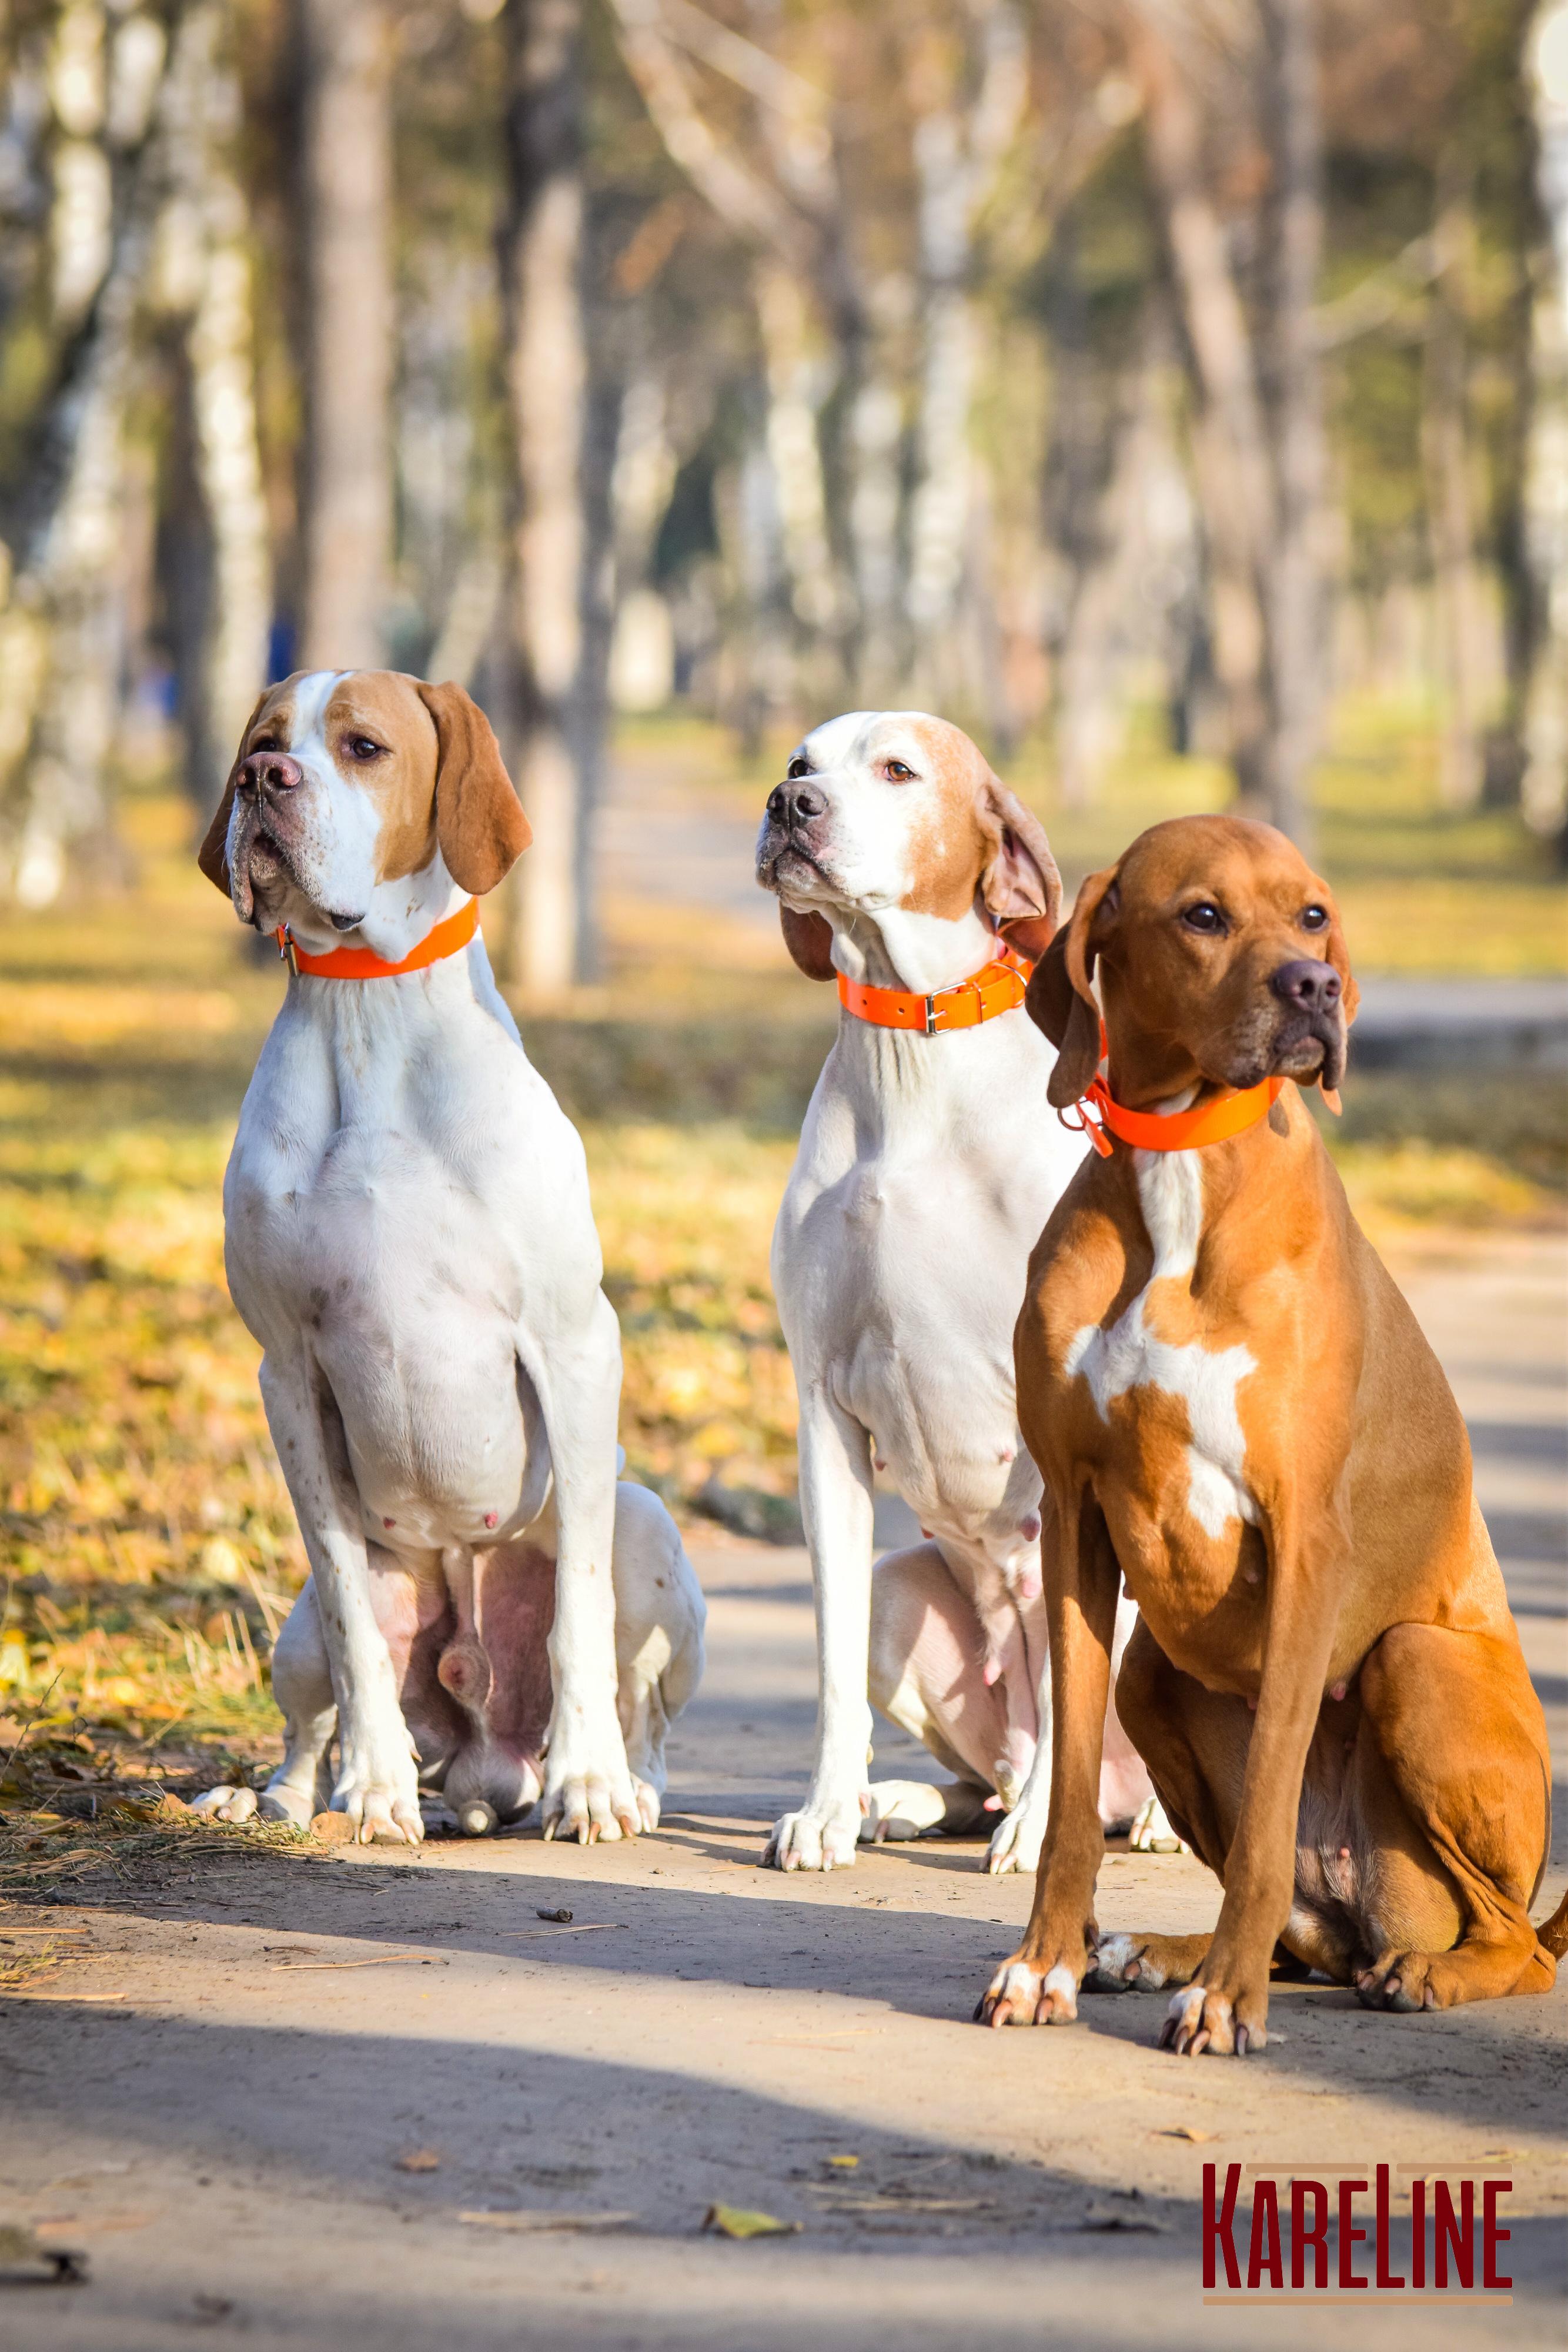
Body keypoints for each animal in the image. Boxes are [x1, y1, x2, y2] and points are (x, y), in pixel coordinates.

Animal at [186, 673, 700, 1844]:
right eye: (262, 741)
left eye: (363, 747)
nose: (264, 780)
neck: (367, 1008)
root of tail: (478, 1763)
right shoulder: (288, 1370)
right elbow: (350, 1622)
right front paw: (374, 1789)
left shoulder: (573, 1342)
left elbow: (578, 1614)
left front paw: (589, 1787)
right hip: (293, 1631)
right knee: (313, 1710)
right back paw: (279, 1798)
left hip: (650, 1532)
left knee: (638, 1697)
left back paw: (627, 1783)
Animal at [752, 706, 1161, 1863]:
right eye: (799, 763)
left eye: (898, 769)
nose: (789, 806)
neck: (911, 1059)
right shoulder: (822, 1412)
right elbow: (830, 1660)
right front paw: (825, 1812)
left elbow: (1070, 1669)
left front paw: (1033, 1838)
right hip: (905, 1596)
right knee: (985, 1756)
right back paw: (908, 1802)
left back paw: (1134, 1818)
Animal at [973, 814, 1561, 2060]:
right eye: (1202, 916)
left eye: (1312, 913)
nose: (1314, 987)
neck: (1182, 1161)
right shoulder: (1073, 1518)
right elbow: (1071, 1795)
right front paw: (1043, 1965)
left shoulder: (1304, 1546)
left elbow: (1265, 1814)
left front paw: (1224, 2006)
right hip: (1153, 1672)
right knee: (1309, 1926)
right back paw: (1163, 1951)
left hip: (1409, 1662)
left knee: (1511, 1940)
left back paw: (1419, 1973)